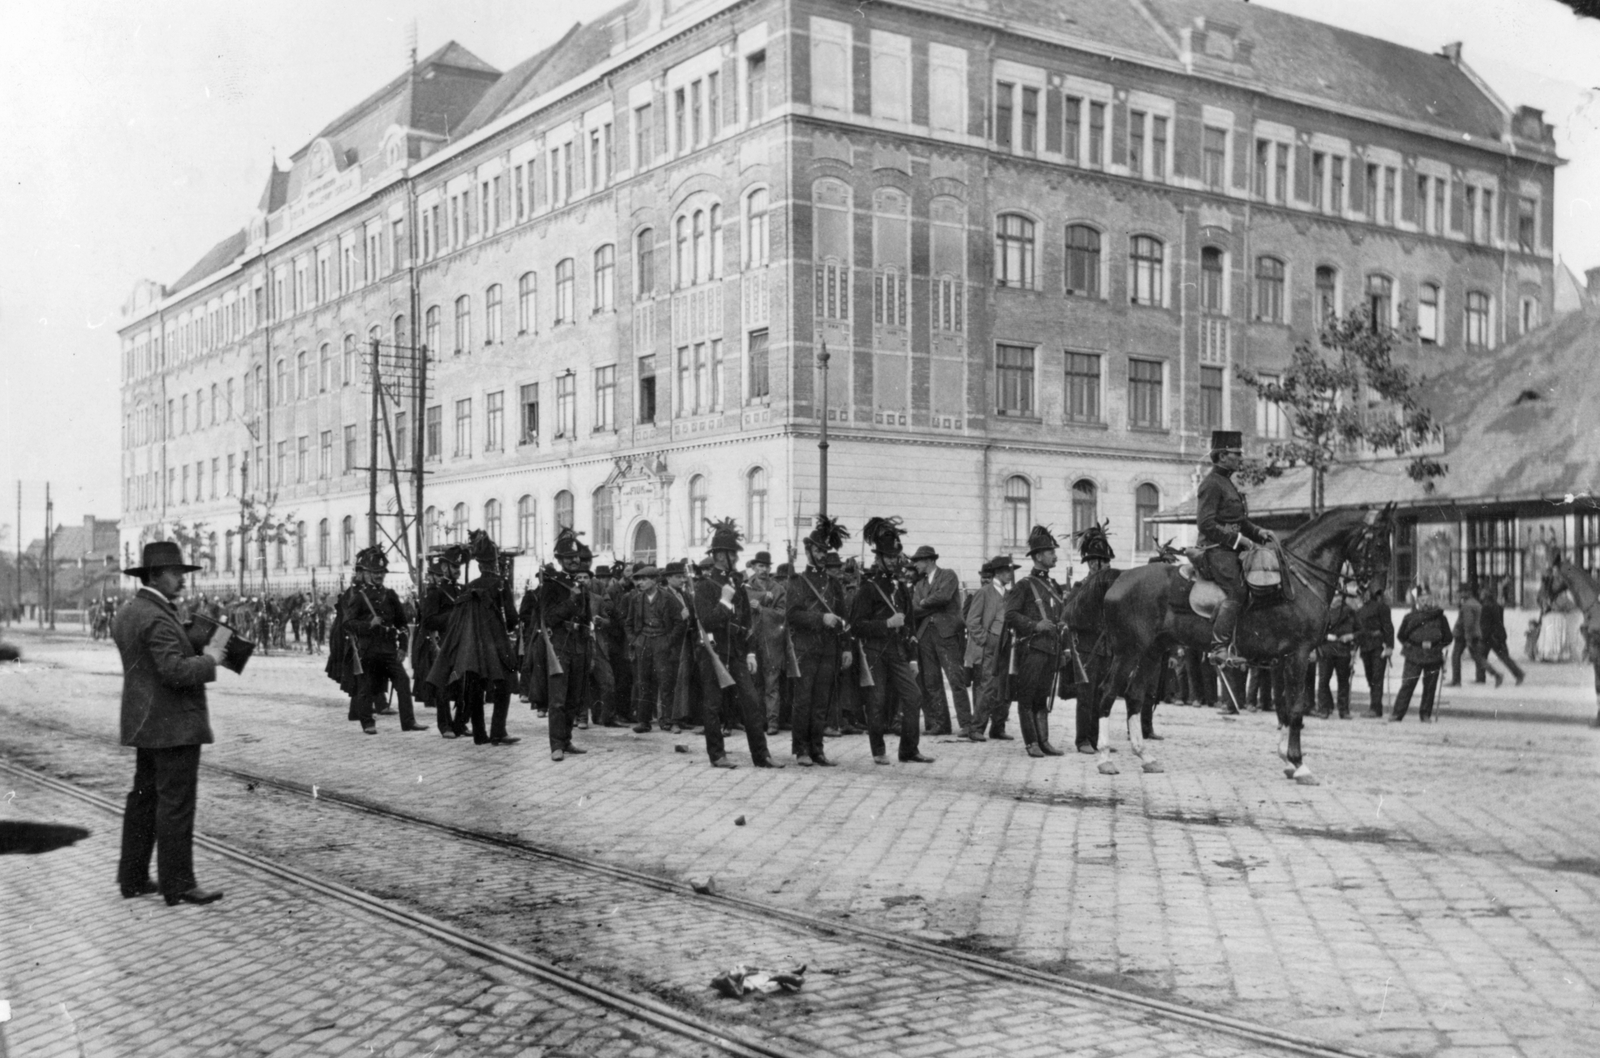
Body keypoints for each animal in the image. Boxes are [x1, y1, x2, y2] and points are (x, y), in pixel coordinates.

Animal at [1094, 502, 1395, 784]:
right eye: (1380, 543)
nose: (1378, 591)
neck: (1299, 580)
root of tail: (1119, 578)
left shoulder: (1282, 659)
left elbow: (1283, 705)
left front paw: (1286, 758)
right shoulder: (1299, 655)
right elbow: (1296, 708)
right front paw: (1300, 764)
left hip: (1151, 653)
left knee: (1134, 696)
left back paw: (1145, 756)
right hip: (1128, 653)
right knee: (1108, 693)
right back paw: (1105, 758)